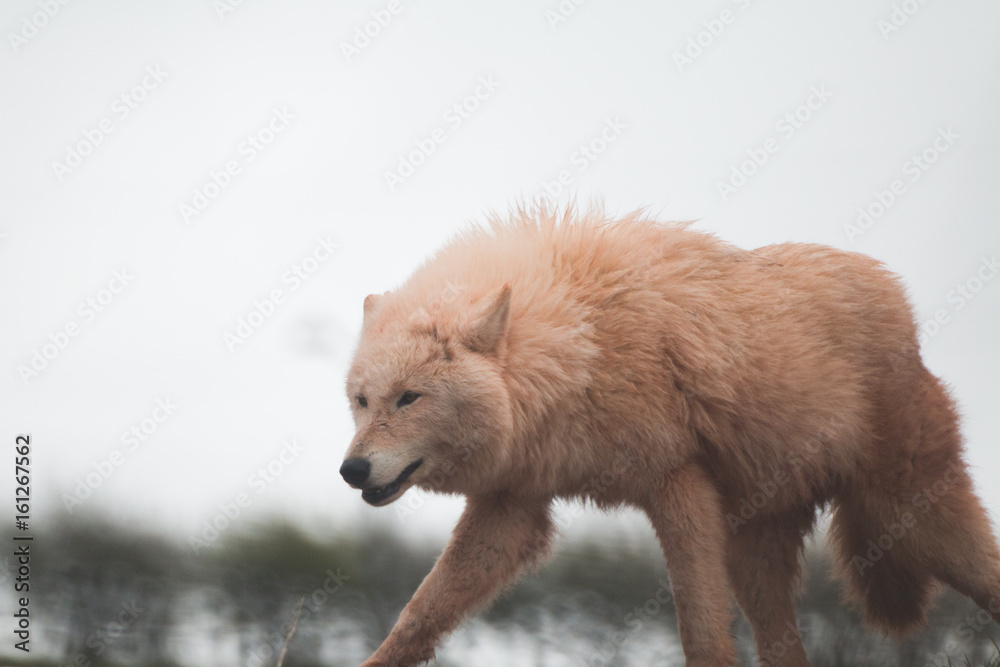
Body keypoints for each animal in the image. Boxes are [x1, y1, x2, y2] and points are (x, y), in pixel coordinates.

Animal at [340, 207, 1000, 666]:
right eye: (361, 401)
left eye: (408, 398)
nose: (351, 471)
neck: (577, 344)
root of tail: (899, 301)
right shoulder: (513, 507)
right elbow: (416, 619)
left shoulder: (678, 487)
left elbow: (702, 636)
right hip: (758, 561)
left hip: (918, 521)